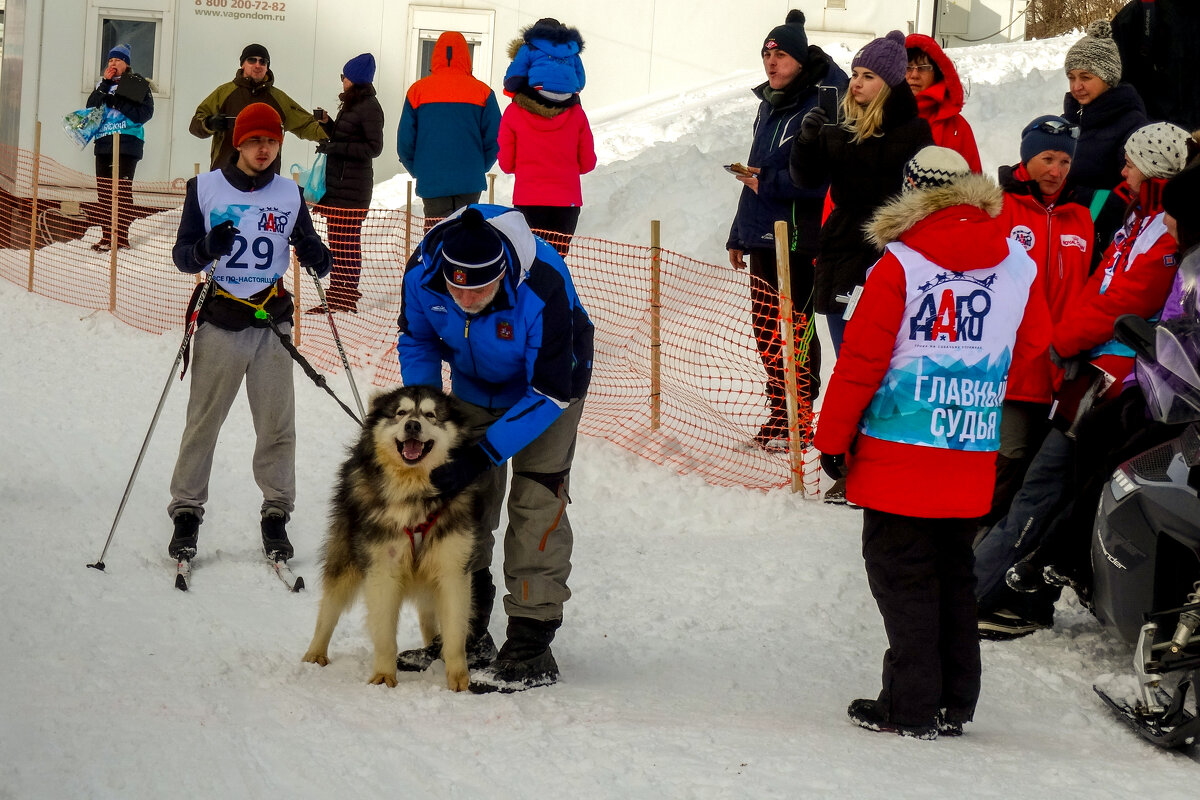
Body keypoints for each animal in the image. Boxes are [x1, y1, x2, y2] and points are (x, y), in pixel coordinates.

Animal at [302, 383, 480, 690]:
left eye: (431, 415)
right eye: (400, 412)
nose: (412, 425)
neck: (414, 494)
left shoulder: (452, 569)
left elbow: (455, 632)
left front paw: (459, 677)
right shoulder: (383, 568)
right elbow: (384, 633)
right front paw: (385, 675)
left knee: (428, 616)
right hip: (346, 559)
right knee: (329, 608)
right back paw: (315, 653)